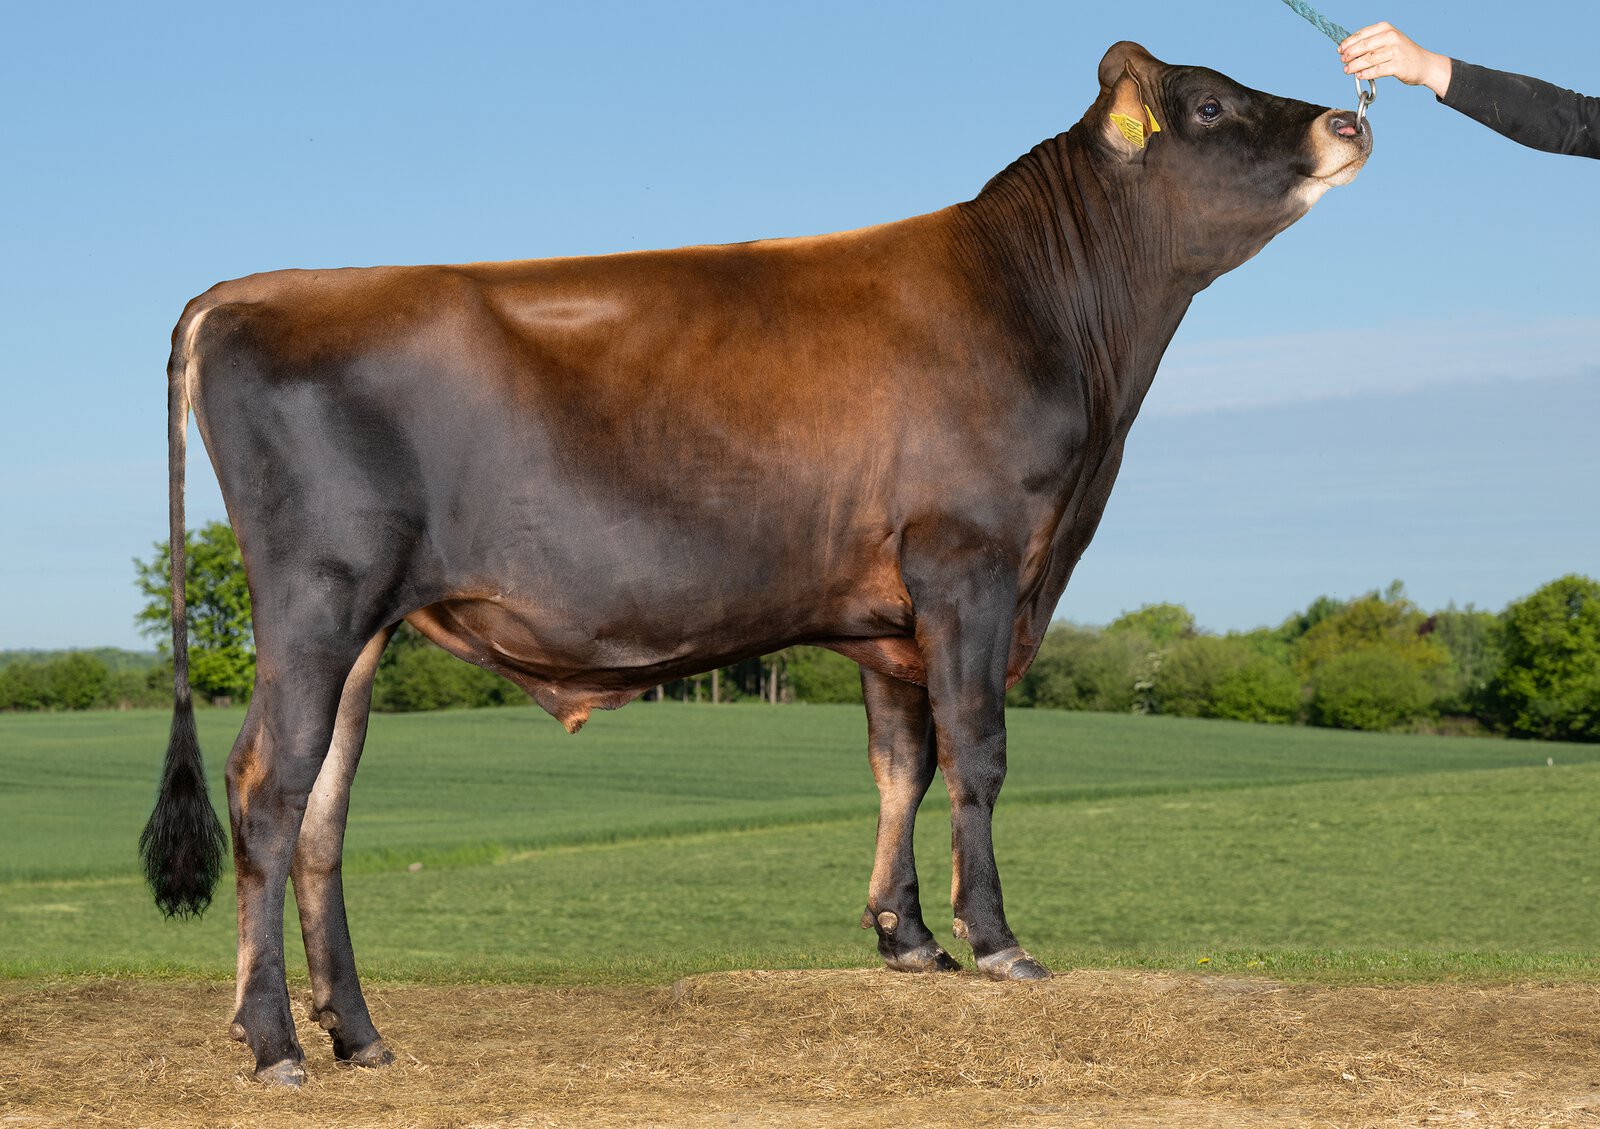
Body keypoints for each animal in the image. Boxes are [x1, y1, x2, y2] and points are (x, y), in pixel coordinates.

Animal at [141, 41, 1370, 1085]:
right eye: (1208, 106)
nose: (1347, 118)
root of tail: (255, 288)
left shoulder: (889, 611)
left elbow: (899, 765)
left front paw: (908, 939)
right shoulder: (968, 560)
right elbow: (976, 754)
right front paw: (996, 941)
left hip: (361, 626)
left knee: (324, 812)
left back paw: (356, 1032)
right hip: (317, 597)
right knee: (266, 791)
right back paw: (272, 1042)